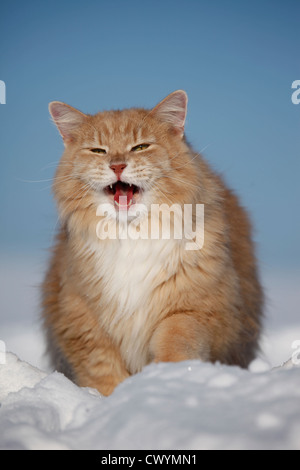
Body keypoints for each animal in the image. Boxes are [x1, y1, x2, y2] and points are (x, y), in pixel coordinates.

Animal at [42, 90, 262, 394]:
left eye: (140, 147)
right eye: (98, 151)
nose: (117, 165)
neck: (131, 234)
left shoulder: (194, 308)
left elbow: (175, 342)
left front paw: (165, 381)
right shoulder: (82, 321)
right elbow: (102, 371)